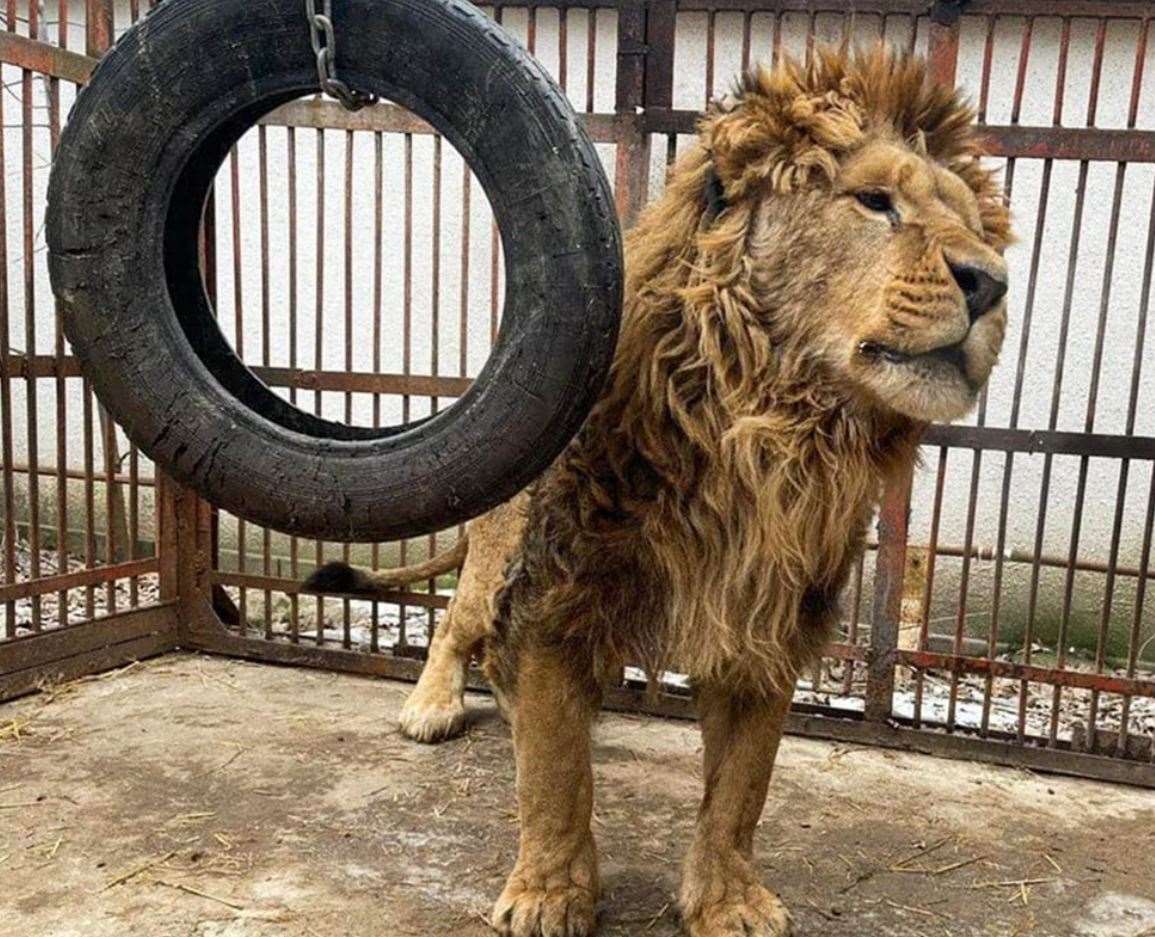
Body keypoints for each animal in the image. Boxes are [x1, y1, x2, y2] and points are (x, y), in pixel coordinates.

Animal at [304, 45, 1011, 937]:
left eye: (976, 227)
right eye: (874, 201)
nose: (991, 283)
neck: (766, 437)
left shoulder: (764, 625)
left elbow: (740, 788)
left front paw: (726, 898)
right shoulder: (555, 595)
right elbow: (557, 777)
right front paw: (550, 892)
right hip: (498, 544)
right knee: (458, 625)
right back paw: (434, 702)